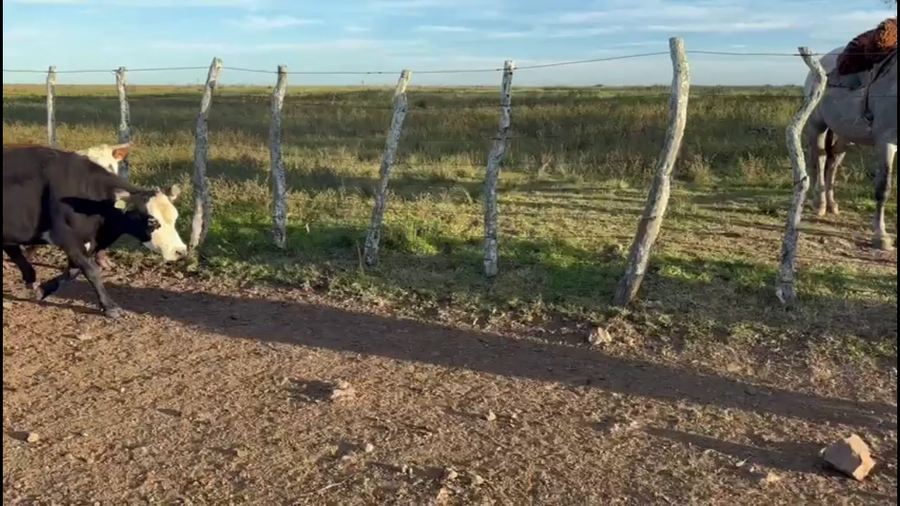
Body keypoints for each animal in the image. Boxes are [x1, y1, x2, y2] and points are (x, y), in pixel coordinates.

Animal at [3, 145, 187, 319]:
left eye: (175, 217)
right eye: (152, 220)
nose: (180, 251)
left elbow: (74, 271)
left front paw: (44, 288)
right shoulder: (66, 238)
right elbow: (91, 271)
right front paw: (110, 307)